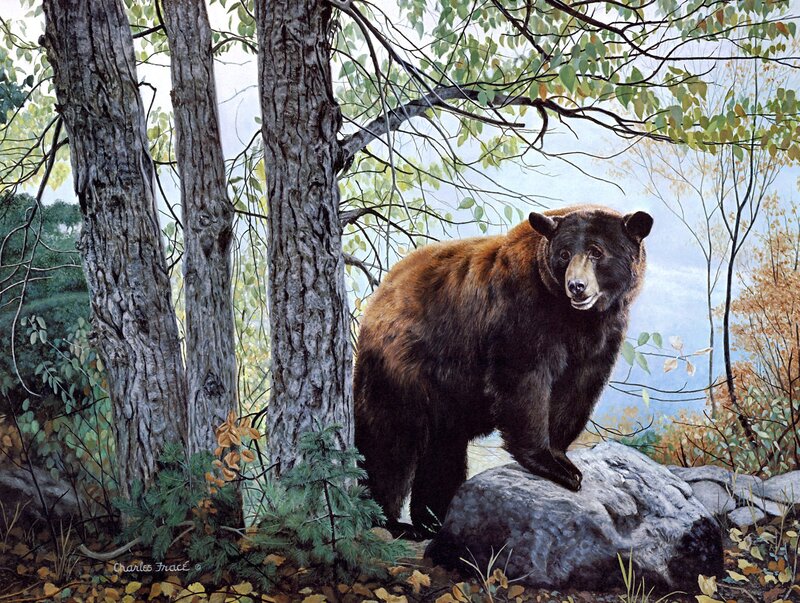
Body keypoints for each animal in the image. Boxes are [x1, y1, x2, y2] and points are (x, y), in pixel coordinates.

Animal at [353, 205, 653, 537]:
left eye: (596, 251)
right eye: (564, 254)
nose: (577, 286)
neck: (574, 318)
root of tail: (380, 294)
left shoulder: (602, 335)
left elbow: (577, 390)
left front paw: (562, 456)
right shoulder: (521, 311)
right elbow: (523, 380)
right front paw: (552, 465)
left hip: (446, 394)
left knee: (443, 450)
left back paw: (434, 518)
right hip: (402, 365)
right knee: (390, 441)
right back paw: (389, 520)